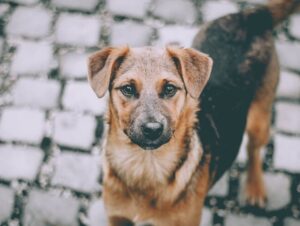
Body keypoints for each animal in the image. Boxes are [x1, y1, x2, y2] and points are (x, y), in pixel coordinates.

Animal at [87, 0, 300, 226]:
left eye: (170, 88)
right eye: (127, 88)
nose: (152, 129)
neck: (145, 167)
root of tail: (250, 16)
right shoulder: (116, 217)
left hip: (260, 119)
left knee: (253, 150)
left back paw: (255, 187)